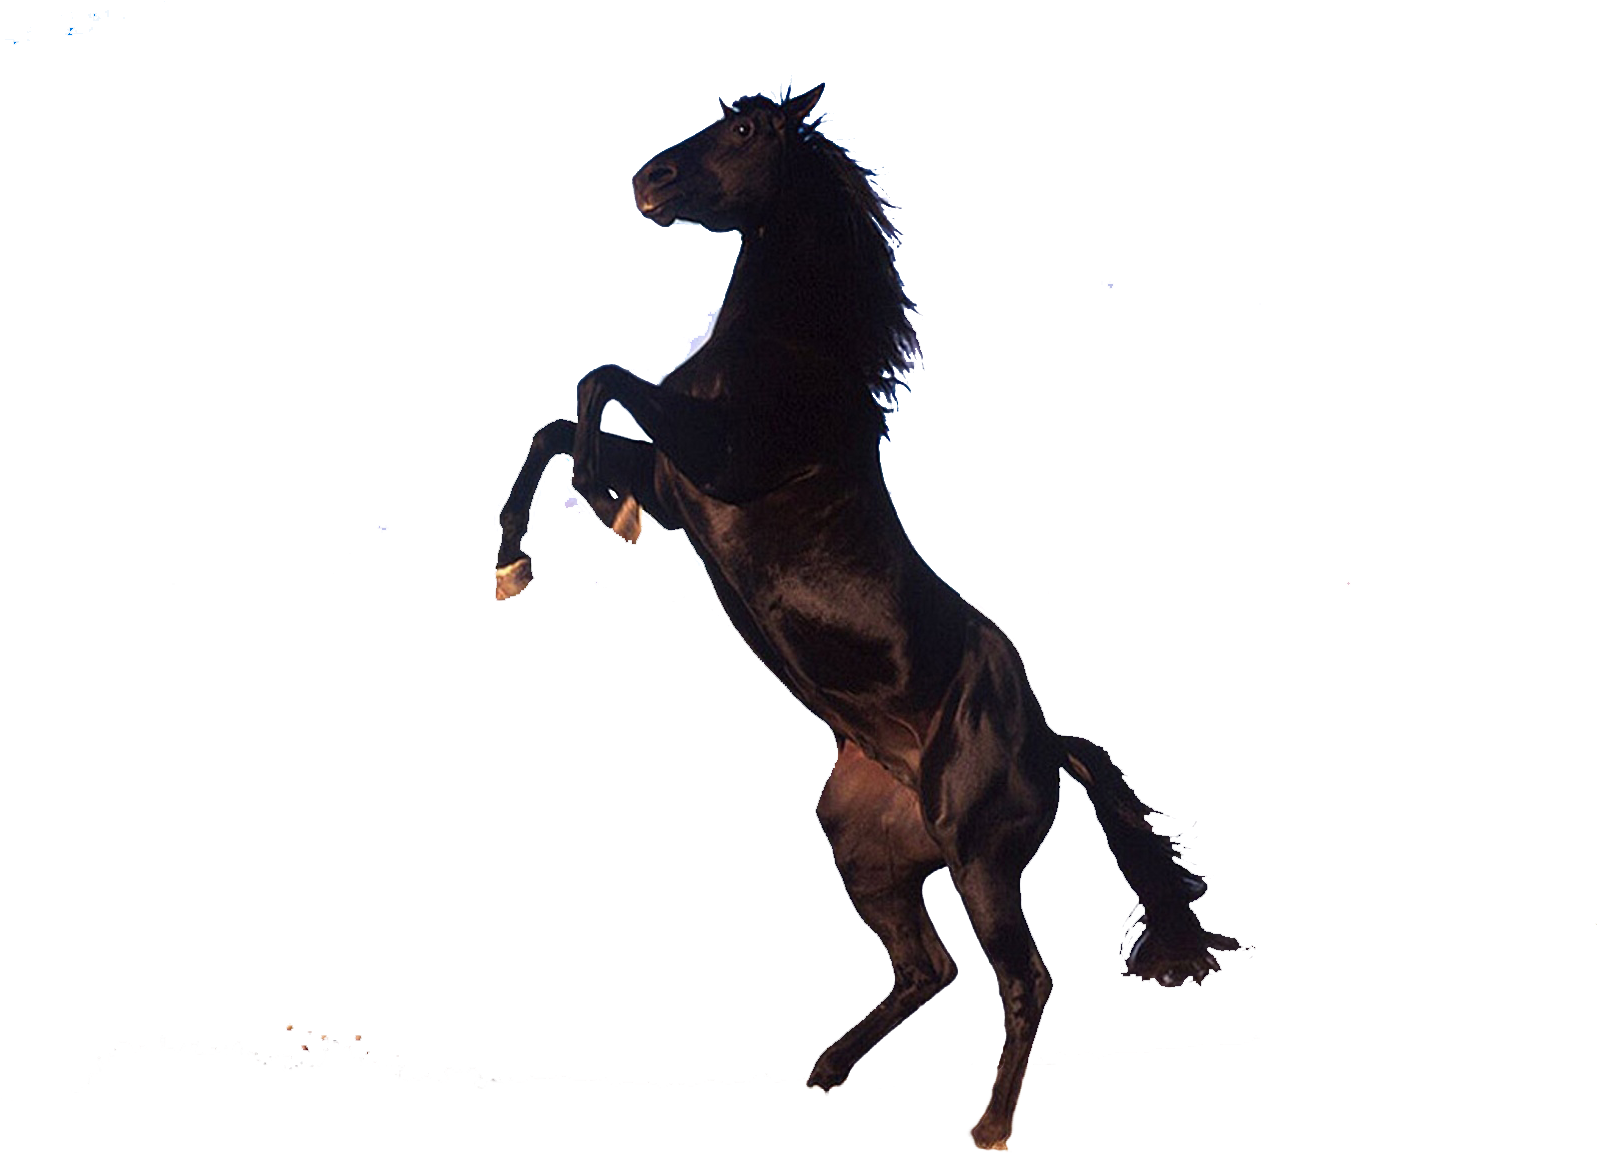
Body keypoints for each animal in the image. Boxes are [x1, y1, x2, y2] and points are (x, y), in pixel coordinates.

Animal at [492, 82, 1247, 1153]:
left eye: (746, 131)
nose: (647, 181)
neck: (785, 361)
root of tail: (1049, 742)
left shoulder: (709, 462)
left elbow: (602, 382)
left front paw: (601, 509)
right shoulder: (683, 486)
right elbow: (556, 422)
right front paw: (513, 565)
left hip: (979, 859)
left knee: (1022, 976)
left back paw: (989, 1125)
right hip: (866, 849)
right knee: (927, 968)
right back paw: (824, 1071)